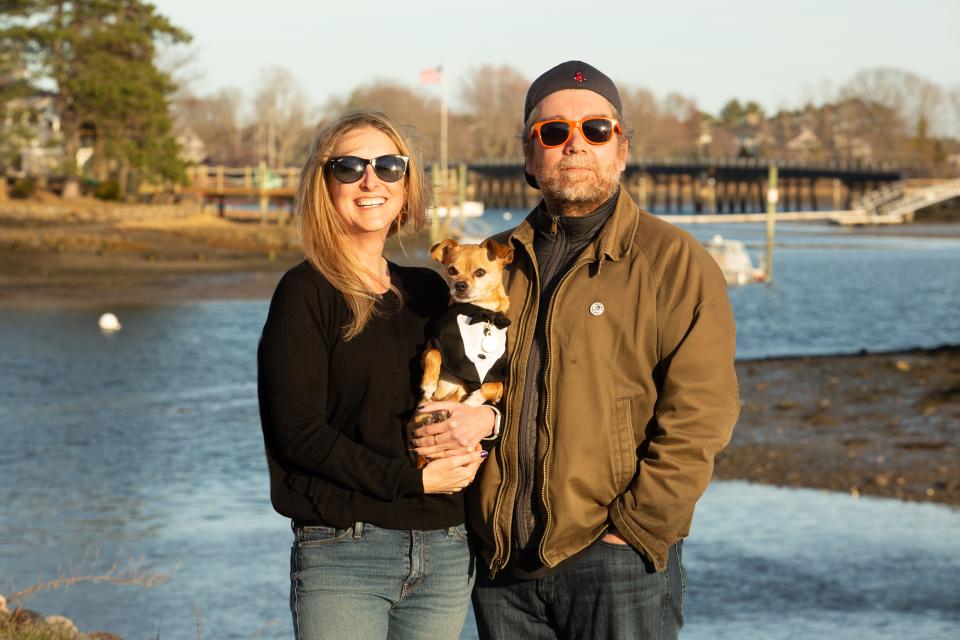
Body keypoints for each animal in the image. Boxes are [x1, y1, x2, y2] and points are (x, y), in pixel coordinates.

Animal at [408, 238, 512, 468]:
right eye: (452, 270)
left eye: (480, 272)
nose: (460, 285)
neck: (479, 312)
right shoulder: (427, 352)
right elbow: (435, 354)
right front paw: (429, 384)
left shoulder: (497, 384)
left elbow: (492, 386)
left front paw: (472, 401)